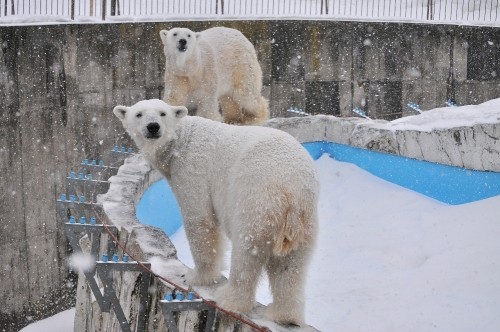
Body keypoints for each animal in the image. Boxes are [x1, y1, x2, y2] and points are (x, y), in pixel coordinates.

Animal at [112, 99, 316, 326]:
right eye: (139, 114)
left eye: (162, 113)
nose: (153, 127)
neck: (179, 142)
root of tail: (291, 189)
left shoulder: (191, 168)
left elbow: (200, 220)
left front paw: (196, 276)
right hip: (304, 219)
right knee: (291, 264)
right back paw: (282, 314)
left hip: (256, 199)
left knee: (248, 250)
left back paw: (230, 298)